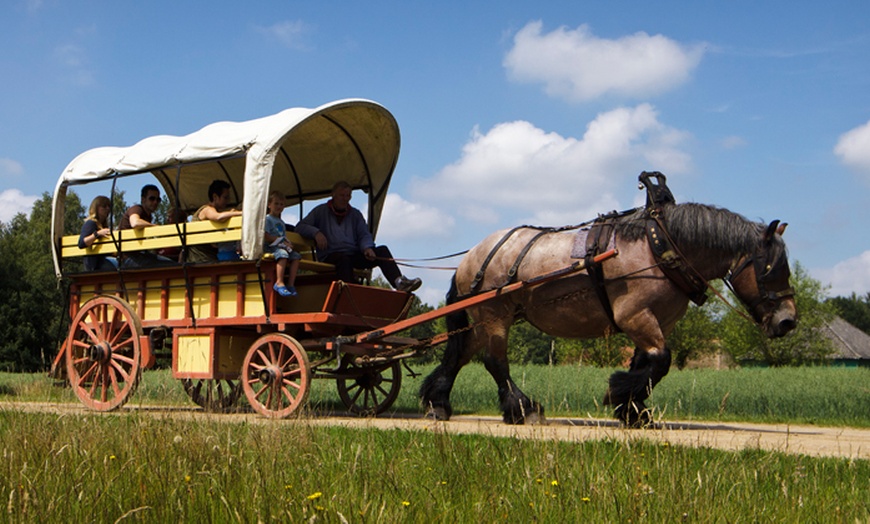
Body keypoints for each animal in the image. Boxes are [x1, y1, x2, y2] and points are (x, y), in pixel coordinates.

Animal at [420, 176, 796, 426]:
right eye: (770, 268)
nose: (788, 321)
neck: (659, 247)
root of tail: (471, 257)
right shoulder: (634, 315)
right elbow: (661, 361)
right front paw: (620, 397)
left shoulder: (654, 321)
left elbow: (646, 364)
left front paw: (632, 409)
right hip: (494, 315)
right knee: (495, 362)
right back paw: (523, 409)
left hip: (486, 318)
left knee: (459, 355)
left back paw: (438, 403)